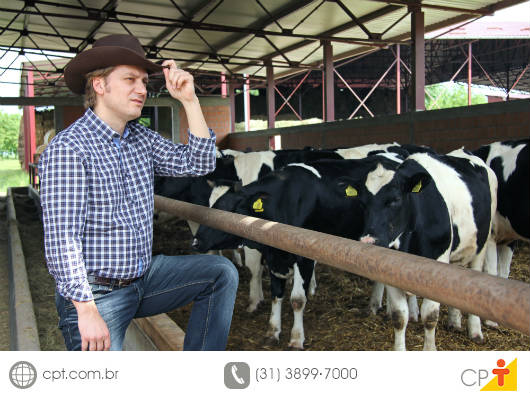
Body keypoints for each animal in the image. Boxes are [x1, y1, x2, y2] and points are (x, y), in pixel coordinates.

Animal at [192, 155, 402, 348]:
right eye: (209, 204)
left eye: (227, 209)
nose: (195, 241)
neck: (283, 201)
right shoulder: (274, 256)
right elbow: (276, 294)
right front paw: (272, 331)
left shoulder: (305, 258)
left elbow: (298, 300)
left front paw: (296, 338)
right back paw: (375, 305)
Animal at [354, 148, 496, 350]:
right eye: (362, 203)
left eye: (395, 200)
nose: (368, 241)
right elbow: (399, 316)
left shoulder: (439, 261)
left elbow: (430, 316)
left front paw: (429, 348)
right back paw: (454, 321)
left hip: (482, 243)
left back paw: (475, 331)